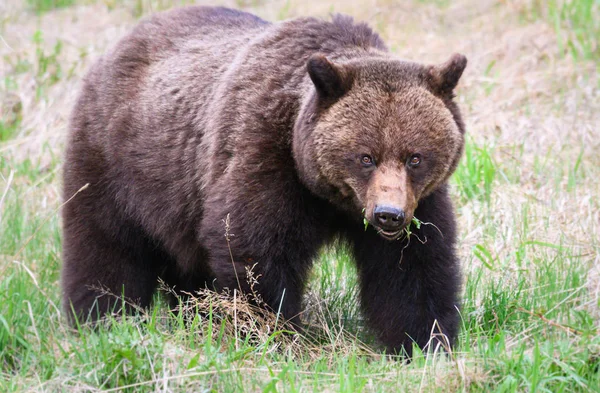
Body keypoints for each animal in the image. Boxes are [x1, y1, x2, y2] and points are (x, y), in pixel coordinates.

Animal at [63, 5, 468, 356]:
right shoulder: (264, 155)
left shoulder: (419, 200)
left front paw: (426, 342)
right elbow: (257, 256)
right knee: (106, 247)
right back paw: (98, 320)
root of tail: (121, 43)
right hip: (121, 164)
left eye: (415, 157)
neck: (330, 196)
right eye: (365, 157)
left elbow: (413, 267)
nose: (388, 215)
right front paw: (272, 333)